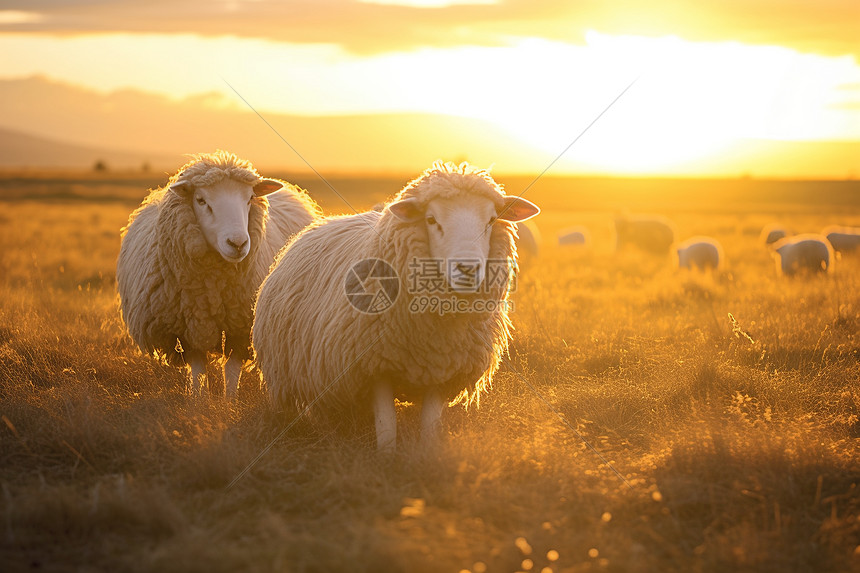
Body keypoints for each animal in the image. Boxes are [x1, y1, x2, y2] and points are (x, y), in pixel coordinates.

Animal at [118, 150, 322, 396]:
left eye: (249, 198)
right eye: (201, 200)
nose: (238, 243)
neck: (212, 292)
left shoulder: (241, 327)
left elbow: (232, 370)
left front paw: (229, 400)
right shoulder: (189, 329)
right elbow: (198, 371)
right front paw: (199, 399)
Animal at [252, 159, 540, 450]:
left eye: (491, 220)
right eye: (431, 219)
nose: (467, 269)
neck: (434, 335)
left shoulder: (442, 369)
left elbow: (429, 425)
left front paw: (427, 450)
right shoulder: (373, 369)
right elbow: (387, 425)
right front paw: (388, 454)